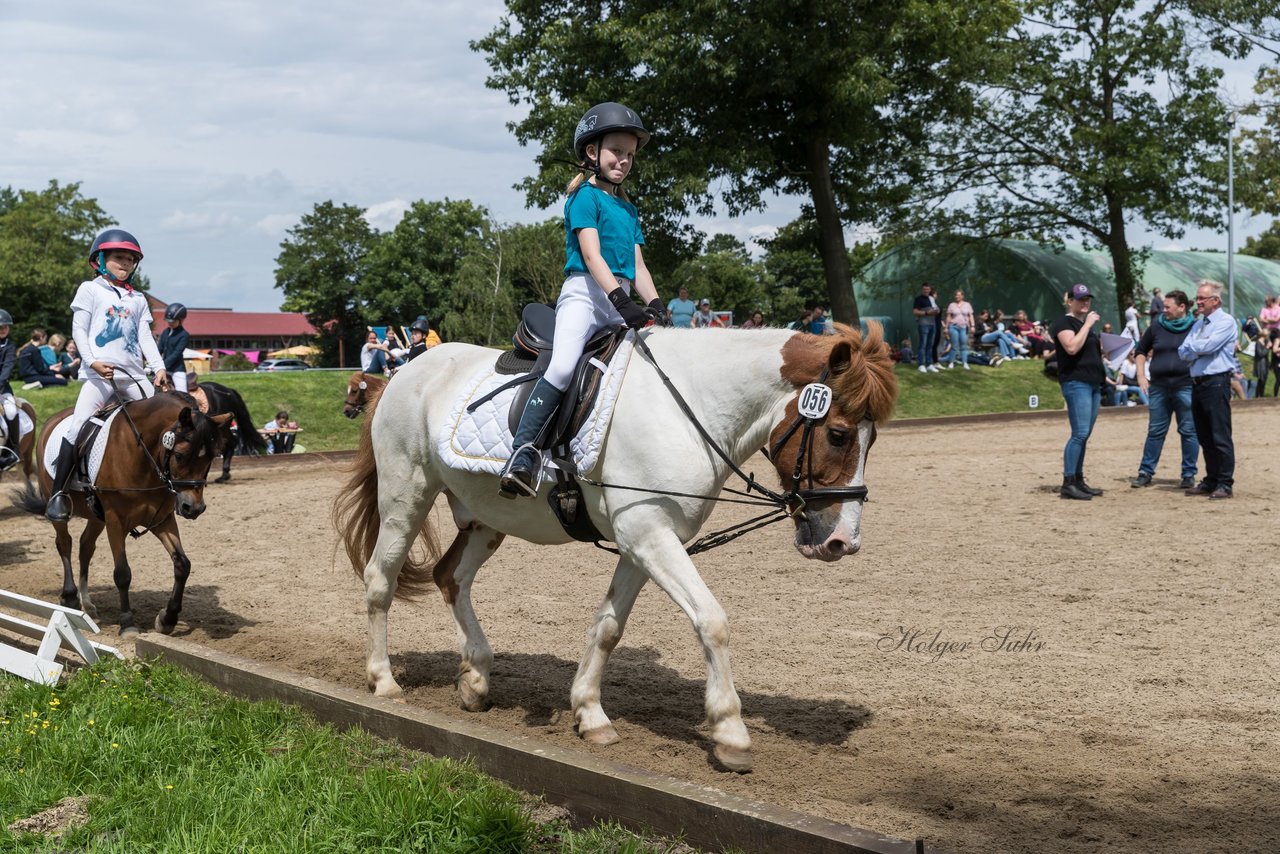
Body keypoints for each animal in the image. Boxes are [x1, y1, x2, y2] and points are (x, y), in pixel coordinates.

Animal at [20, 394, 230, 635]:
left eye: (212, 457)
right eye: (179, 455)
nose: (193, 508)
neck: (143, 458)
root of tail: (53, 418)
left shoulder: (162, 519)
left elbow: (182, 565)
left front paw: (167, 619)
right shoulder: (115, 520)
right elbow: (122, 573)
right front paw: (128, 623)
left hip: (96, 516)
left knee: (86, 547)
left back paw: (87, 604)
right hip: (61, 509)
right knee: (65, 543)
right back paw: (71, 598)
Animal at [337, 322, 901, 773]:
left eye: (872, 439)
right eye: (837, 434)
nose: (842, 541)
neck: (690, 406)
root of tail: (406, 373)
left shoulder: (643, 542)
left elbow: (608, 627)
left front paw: (590, 713)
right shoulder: (647, 534)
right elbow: (712, 620)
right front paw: (730, 732)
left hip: (484, 519)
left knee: (451, 576)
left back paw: (475, 676)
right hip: (406, 495)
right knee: (381, 579)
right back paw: (383, 680)